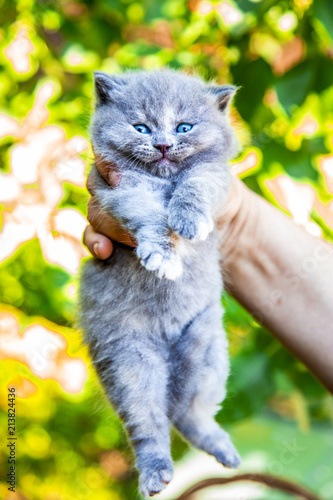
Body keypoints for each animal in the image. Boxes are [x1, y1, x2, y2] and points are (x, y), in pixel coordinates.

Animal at [79, 68, 240, 498]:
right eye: (141, 128)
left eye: (184, 127)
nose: (164, 144)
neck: (164, 180)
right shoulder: (120, 189)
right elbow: (150, 217)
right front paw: (163, 256)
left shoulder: (217, 176)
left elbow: (195, 184)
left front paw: (187, 220)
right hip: (129, 360)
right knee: (149, 424)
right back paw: (155, 475)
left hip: (208, 349)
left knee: (190, 415)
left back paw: (222, 448)